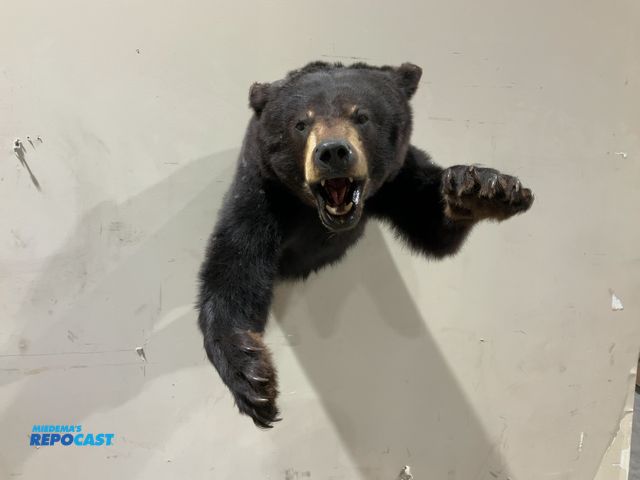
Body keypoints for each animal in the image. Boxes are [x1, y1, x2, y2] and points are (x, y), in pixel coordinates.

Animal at [197, 61, 534, 428]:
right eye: (301, 123)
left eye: (361, 116)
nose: (332, 152)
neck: (314, 216)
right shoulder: (263, 190)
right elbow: (233, 267)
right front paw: (251, 375)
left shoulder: (397, 177)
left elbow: (431, 221)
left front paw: (484, 188)